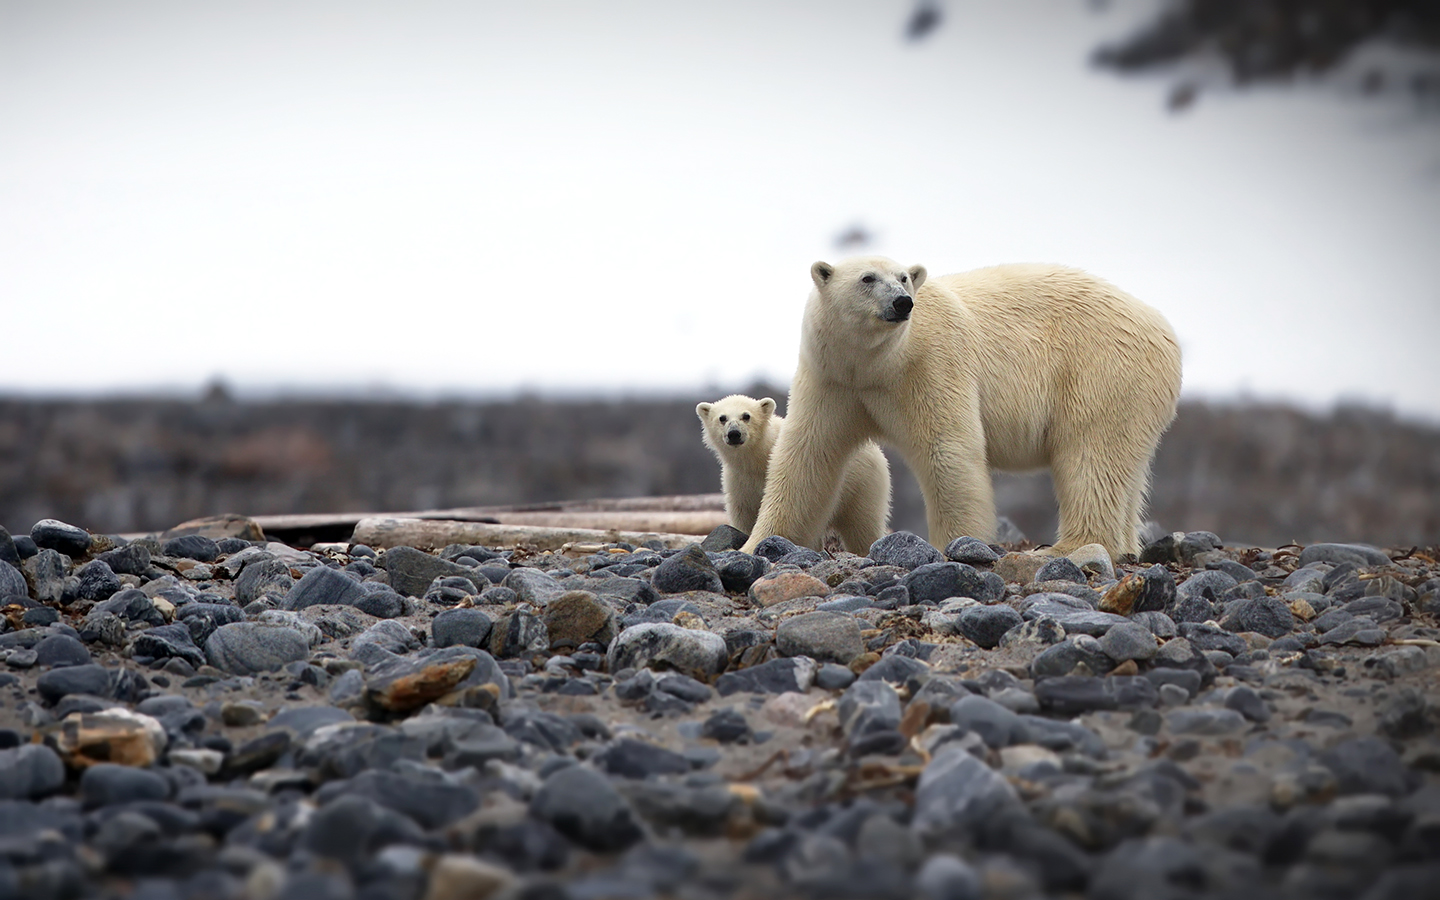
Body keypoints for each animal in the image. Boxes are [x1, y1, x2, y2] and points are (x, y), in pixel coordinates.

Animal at [696, 394, 891, 554]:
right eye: (722, 418)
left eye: (746, 416)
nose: (734, 434)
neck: (758, 458)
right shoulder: (740, 480)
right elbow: (744, 515)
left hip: (862, 485)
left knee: (862, 524)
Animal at [741, 257, 1182, 560]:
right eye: (867, 278)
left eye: (903, 277)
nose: (903, 303)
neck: (878, 365)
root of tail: (1163, 329)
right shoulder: (834, 380)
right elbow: (807, 455)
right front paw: (757, 543)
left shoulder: (931, 364)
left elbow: (947, 449)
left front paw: (956, 544)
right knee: (1124, 467)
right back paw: (1124, 546)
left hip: (1102, 369)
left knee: (1091, 455)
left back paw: (1068, 547)